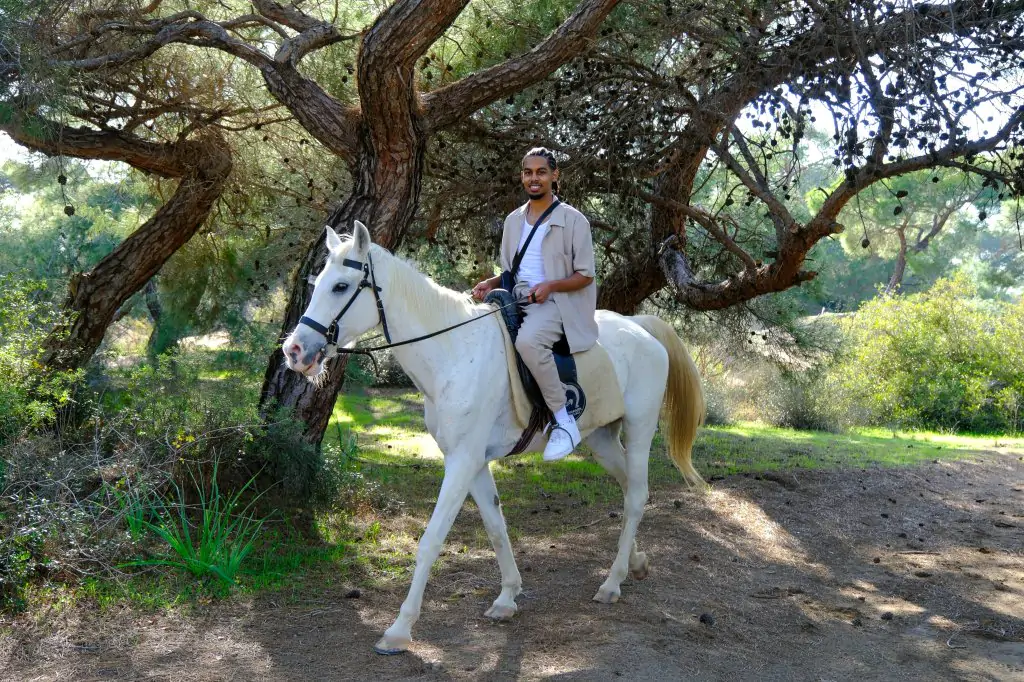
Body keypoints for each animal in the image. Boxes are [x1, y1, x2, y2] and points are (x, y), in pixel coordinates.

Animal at [284, 220, 708, 651]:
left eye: (340, 286)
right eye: (318, 283)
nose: (294, 350)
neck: (452, 353)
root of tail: (639, 326)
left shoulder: (461, 462)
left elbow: (431, 540)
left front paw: (400, 629)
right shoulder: (472, 463)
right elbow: (496, 526)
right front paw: (507, 596)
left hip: (639, 430)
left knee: (636, 495)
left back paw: (612, 582)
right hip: (602, 439)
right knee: (628, 489)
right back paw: (634, 563)